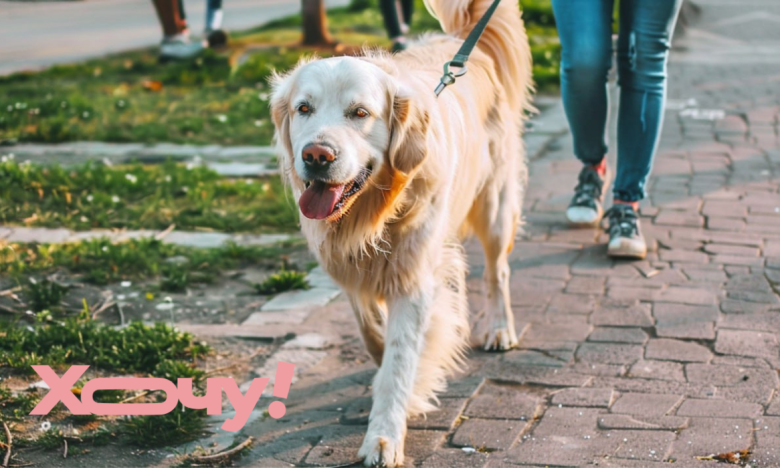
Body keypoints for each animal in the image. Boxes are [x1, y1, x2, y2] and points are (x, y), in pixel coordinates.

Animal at [268, 1, 532, 466]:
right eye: (303, 109)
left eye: (360, 113)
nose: (316, 155)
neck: (372, 212)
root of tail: (461, 43)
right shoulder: (348, 265)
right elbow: (371, 330)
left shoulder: (413, 277)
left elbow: (399, 361)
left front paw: (384, 436)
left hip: (495, 204)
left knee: (497, 270)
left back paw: (500, 327)